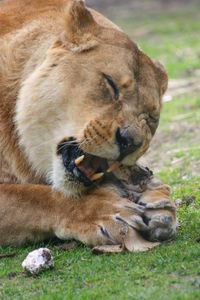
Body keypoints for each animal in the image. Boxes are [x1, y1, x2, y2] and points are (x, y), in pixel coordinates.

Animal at [0, 0, 177, 250]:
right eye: (111, 85)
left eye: (151, 118)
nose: (130, 142)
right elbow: (32, 198)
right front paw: (108, 211)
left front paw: (158, 201)